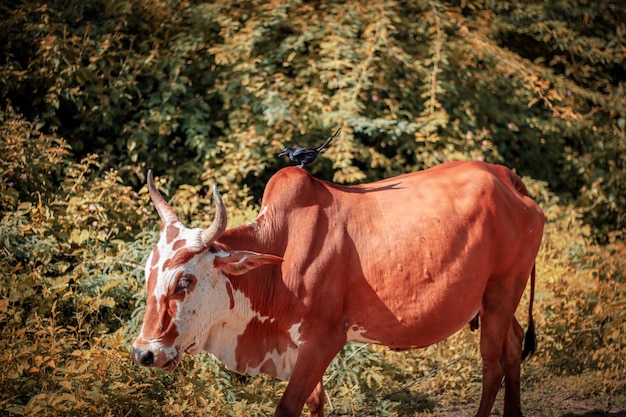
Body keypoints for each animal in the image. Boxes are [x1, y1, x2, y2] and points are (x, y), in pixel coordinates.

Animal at [130, 161, 540, 414]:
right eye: (148, 272)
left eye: (185, 281)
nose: (143, 353)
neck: (280, 259)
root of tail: (505, 176)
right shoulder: (297, 346)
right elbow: (316, 402)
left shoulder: (324, 339)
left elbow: (288, 406)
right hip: (498, 300)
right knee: (514, 345)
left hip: (501, 292)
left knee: (492, 363)